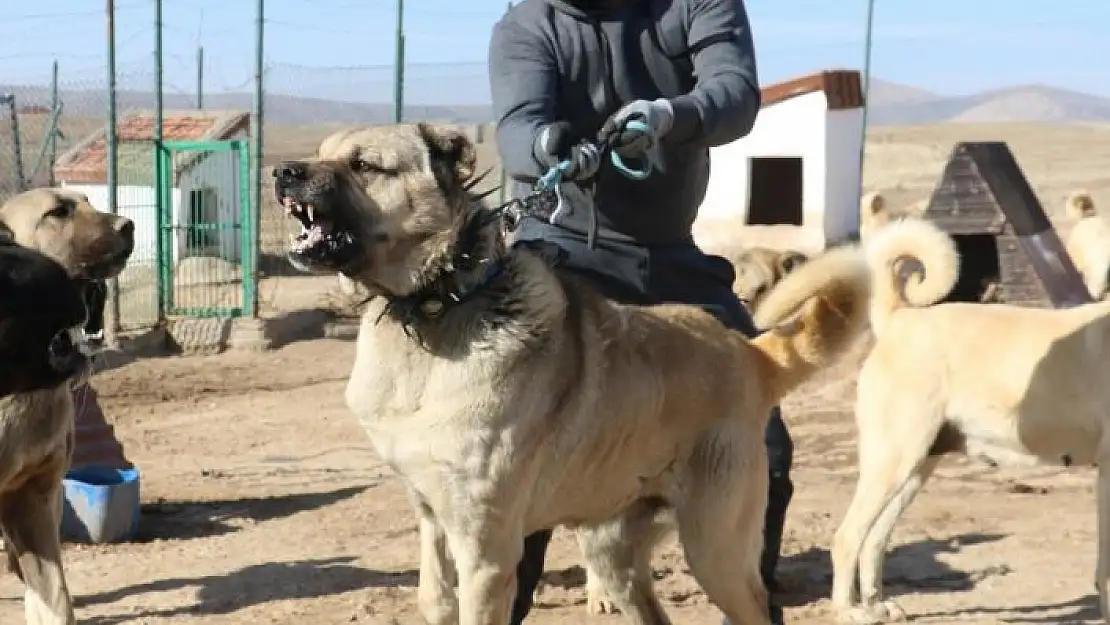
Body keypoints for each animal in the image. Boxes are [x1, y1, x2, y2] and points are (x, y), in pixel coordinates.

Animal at [275, 123, 874, 625]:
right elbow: (432, 598)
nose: (283, 171)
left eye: (363, 165)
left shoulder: (486, 550)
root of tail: (747, 352)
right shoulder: (431, 519)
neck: (438, 306)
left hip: (716, 549)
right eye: (321, 153)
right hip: (613, 550)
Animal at [830, 216, 1110, 625]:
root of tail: (902, 317)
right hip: (892, 461)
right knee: (847, 537)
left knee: (875, 539)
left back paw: (875, 604)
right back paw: (848, 611)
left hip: (915, 469)